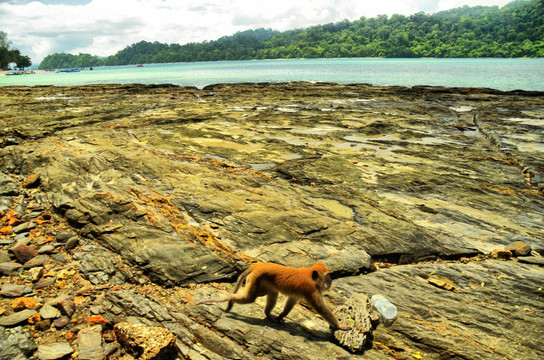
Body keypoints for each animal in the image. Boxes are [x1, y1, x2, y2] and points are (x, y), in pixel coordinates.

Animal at [196, 260, 348, 330]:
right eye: (327, 276)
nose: (331, 281)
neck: (311, 277)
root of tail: (258, 265)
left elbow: (291, 300)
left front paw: (281, 316)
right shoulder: (312, 290)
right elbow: (321, 309)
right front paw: (341, 326)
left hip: (262, 281)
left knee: (271, 294)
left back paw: (268, 314)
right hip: (256, 279)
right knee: (249, 298)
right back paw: (230, 300)